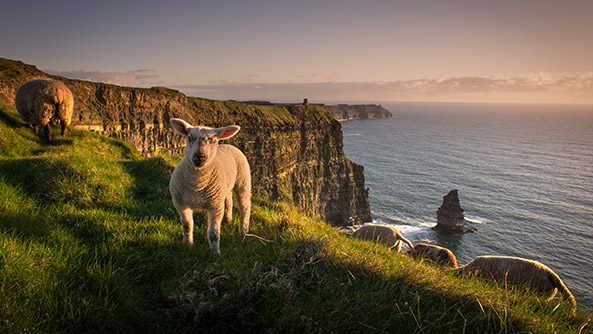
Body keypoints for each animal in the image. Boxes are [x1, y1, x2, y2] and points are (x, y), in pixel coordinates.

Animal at [168, 118, 251, 256]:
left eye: (213, 140)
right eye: (190, 137)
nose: (199, 156)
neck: (197, 186)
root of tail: (228, 145)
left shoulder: (215, 207)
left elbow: (213, 233)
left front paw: (215, 253)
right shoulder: (180, 204)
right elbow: (187, 225)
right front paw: (187, 244)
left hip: (243, 181)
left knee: (244, 206)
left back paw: (244, 231)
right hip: (224, 187)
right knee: (229, 201)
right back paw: (228, 220)